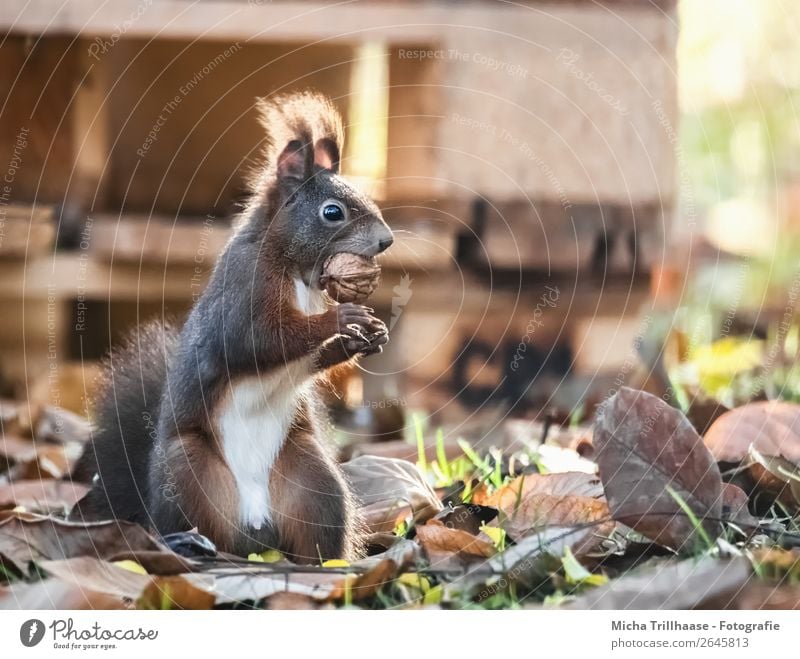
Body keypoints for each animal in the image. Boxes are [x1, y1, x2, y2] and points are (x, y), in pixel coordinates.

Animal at [72, 93, 394, 564]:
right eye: (332, 212)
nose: (387, 240)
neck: (294, 270)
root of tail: (255, 530)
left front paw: (369, 335)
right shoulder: (242, 295)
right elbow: (259, 341)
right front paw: (342, 320)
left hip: (310, 474)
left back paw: (328, 562)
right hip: (187, 472)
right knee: (189, 519)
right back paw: (189, 545)